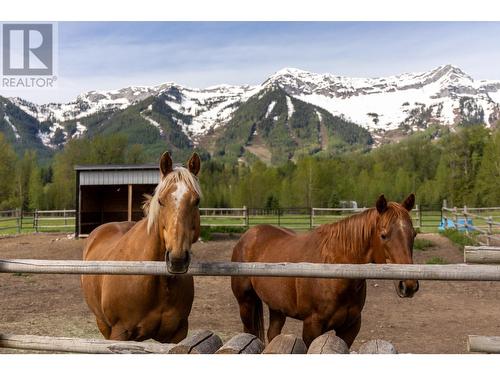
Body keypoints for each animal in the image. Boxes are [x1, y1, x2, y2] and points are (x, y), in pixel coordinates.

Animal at [80, 152, 201, 344]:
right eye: (160, 201)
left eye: (196, 201)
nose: (177, 259)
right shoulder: (120, 333)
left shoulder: (178, 334)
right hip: (103, 324)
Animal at [232, 195, 420, 348]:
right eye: (383, 235)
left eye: (413, 234)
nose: (408, 285)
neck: (336, 270)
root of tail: (249, 235)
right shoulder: (312, 326)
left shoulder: (349, 328)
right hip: (246, 303)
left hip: (277, 307)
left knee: (273, 334)